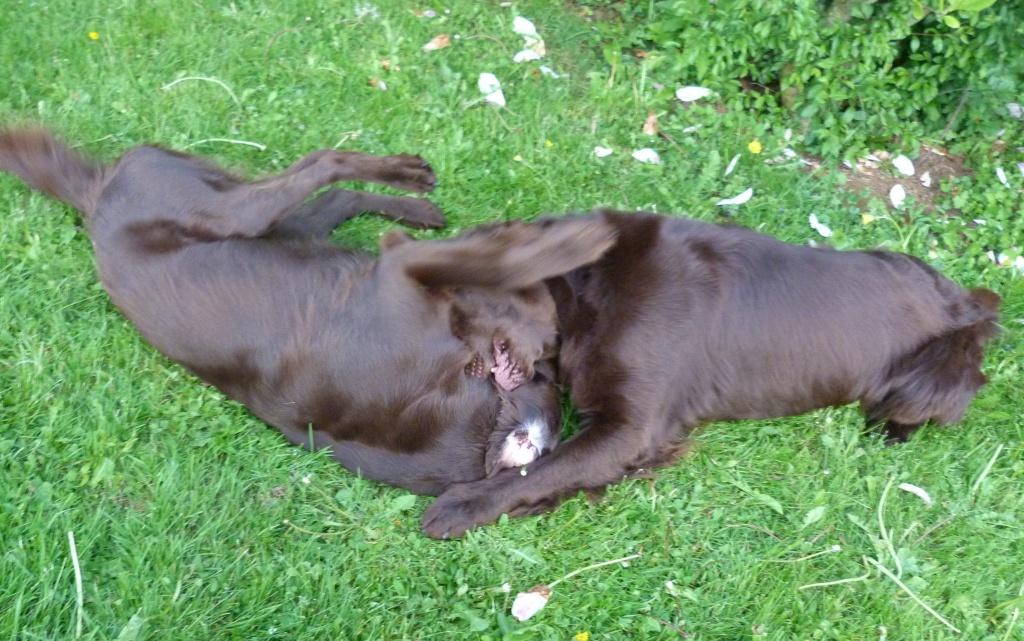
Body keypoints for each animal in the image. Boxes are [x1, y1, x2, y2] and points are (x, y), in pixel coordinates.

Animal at [0, 128, 615, 494]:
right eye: (541, 358)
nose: (527, 357)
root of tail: (95, 193)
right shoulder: (399, 274)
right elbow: (495, 261)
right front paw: (569, 242)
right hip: (235, 210)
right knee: (324, 162)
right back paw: (410, 180)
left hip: (279, 226)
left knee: (332, 189)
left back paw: (415, 200)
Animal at [422, 210, 1001, 537]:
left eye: (455, 307)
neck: (592, 284)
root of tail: (965, 303)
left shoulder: (633, 428)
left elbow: (542, 470)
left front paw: (464, 504)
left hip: (933, 374)